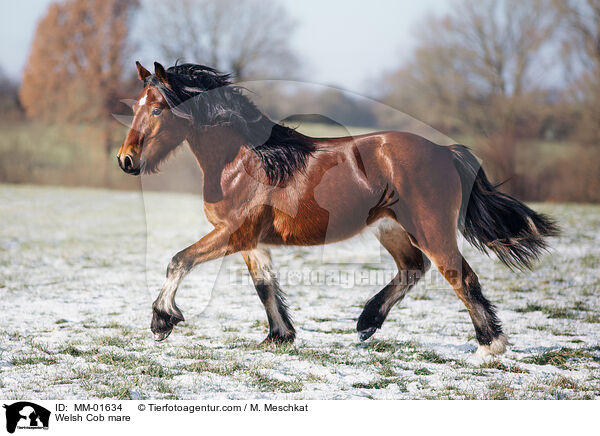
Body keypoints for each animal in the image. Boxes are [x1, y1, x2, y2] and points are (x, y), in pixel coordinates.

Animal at [117, 61, 556, 356]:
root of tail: (445, 152)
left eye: (157, 109)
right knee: (413, 269)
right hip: (391, 228)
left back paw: (489, 345)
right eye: (135, 107)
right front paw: (279, 337)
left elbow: (179, 260)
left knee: (459, 276)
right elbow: (264, 286)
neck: (242, 160)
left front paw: (162, 321)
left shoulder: (234, 233)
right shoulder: (250, 241)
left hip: (431, 229)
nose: (126, 160)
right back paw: (366, 324)